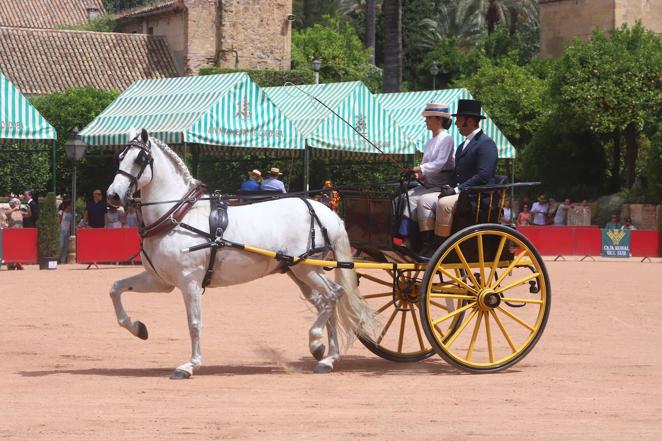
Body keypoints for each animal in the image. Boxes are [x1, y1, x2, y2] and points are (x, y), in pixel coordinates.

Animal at [108, 130, 378, 378]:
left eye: (141, 159)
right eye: (120, 157)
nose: (113, 195)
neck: (177, 216)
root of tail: (324, 211)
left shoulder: (189, 281)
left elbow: (194, 323)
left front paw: (190, 365)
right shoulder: (160, 281)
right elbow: (115, 288)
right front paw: (137, 328)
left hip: (306, 269)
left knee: (334, 295)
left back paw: (318, 343)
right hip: (299, 272)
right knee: (326, 303)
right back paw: (326, 356)